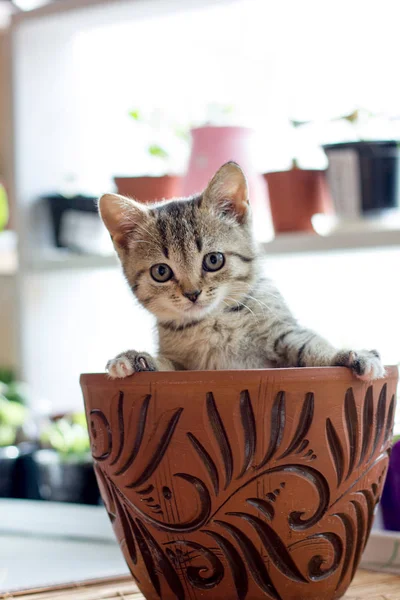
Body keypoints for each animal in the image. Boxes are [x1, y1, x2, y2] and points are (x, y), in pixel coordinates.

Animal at [98, 162, 386, 380]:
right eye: (161, 272)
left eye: (213, 260)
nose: (192, 293)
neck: (213, 324)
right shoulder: (184, 365)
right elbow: (167, 365)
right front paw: (137, 359)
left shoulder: (283, 334)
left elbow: (310, 346)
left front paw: (350, 356)